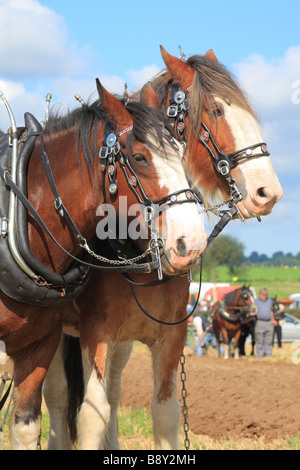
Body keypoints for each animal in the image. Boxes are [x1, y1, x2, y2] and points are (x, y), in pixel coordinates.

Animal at [43, 48, 282, 452]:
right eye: (216, 110)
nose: (269, 192)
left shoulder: (170, 336)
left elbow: (164, 411)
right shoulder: (95, 332)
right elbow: (90, 414)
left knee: (113, 393)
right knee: (57, 397)